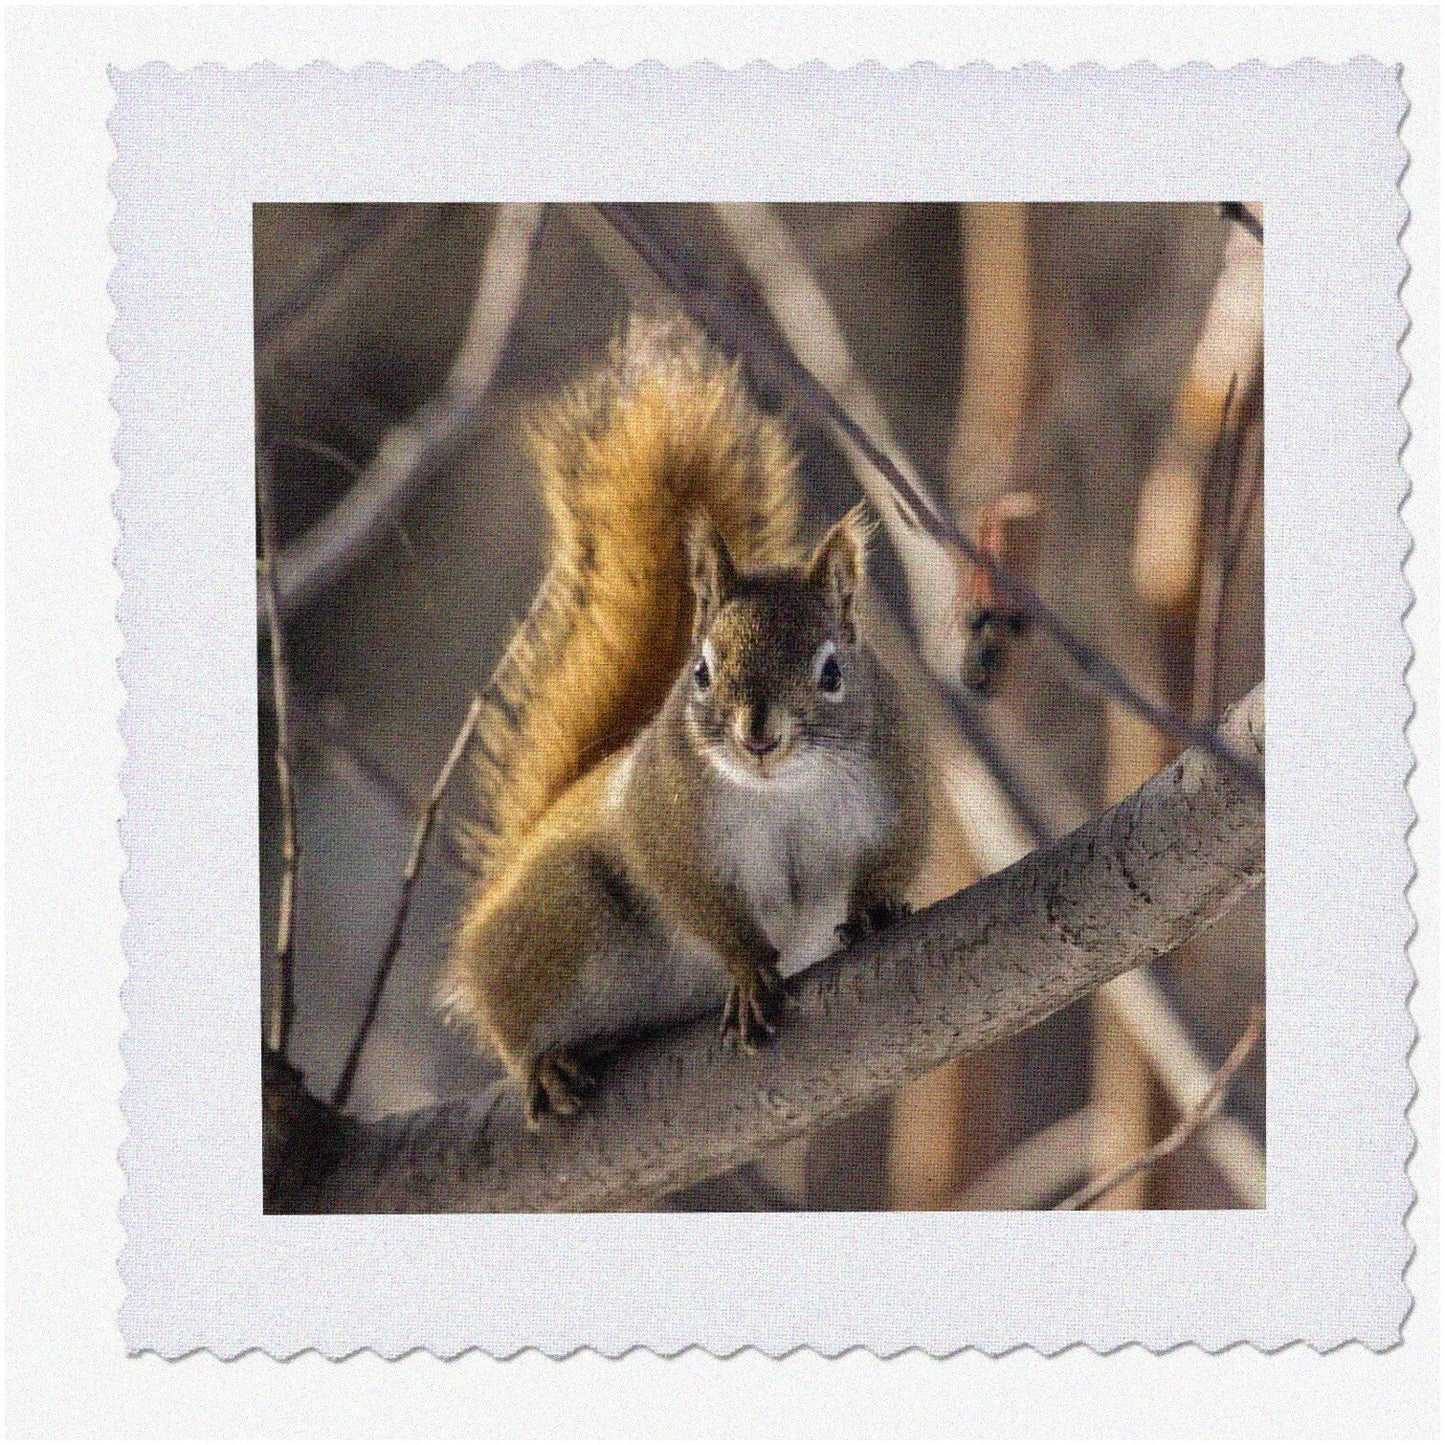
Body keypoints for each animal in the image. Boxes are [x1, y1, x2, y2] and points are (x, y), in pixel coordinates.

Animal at [439, 314, 929, 1126]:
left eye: (831, 672)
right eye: (700, 671)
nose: (758, 737)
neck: (781, 791)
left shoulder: (898, 784)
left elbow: (897, 855)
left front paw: (873, 910)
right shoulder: (667, 825)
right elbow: (698, 902)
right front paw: (748, 971)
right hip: (559, 917)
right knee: (512, 1020)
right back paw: (545, 1063)